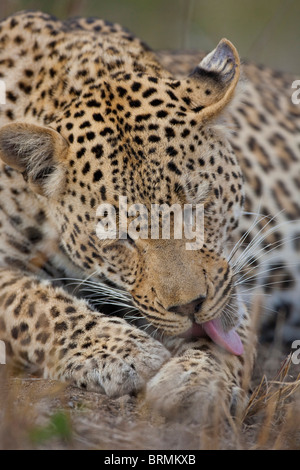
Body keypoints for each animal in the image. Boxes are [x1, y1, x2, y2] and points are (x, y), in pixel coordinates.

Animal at [0, 10, 298, 418]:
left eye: (197, 207)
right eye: (121, 238)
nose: (191, 306)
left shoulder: (232, 283)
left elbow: (227, 336)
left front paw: (195, 382)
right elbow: (34, 304)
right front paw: (122, 352)